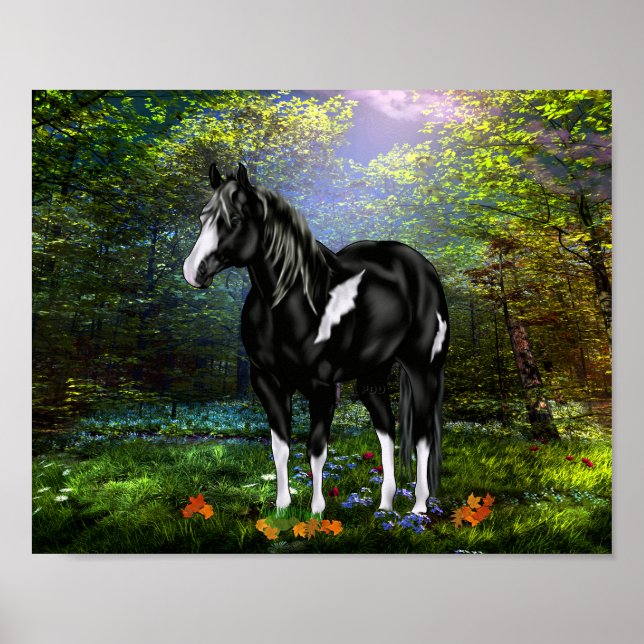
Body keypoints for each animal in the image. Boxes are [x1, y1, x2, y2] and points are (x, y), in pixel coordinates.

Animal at [183, 163, 449, 515]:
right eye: (203, 217)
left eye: (235, 219)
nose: (192, 271)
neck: (292, 305)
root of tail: (422, 268)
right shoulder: (267, 382)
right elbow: (280, 447)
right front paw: (282, 508)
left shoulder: (321, 387)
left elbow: (316, 449)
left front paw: (316, 511)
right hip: (372, 376)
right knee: (387, 429)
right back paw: (385, 505)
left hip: (422, 369)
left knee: (421, 435)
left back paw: (419, 507)